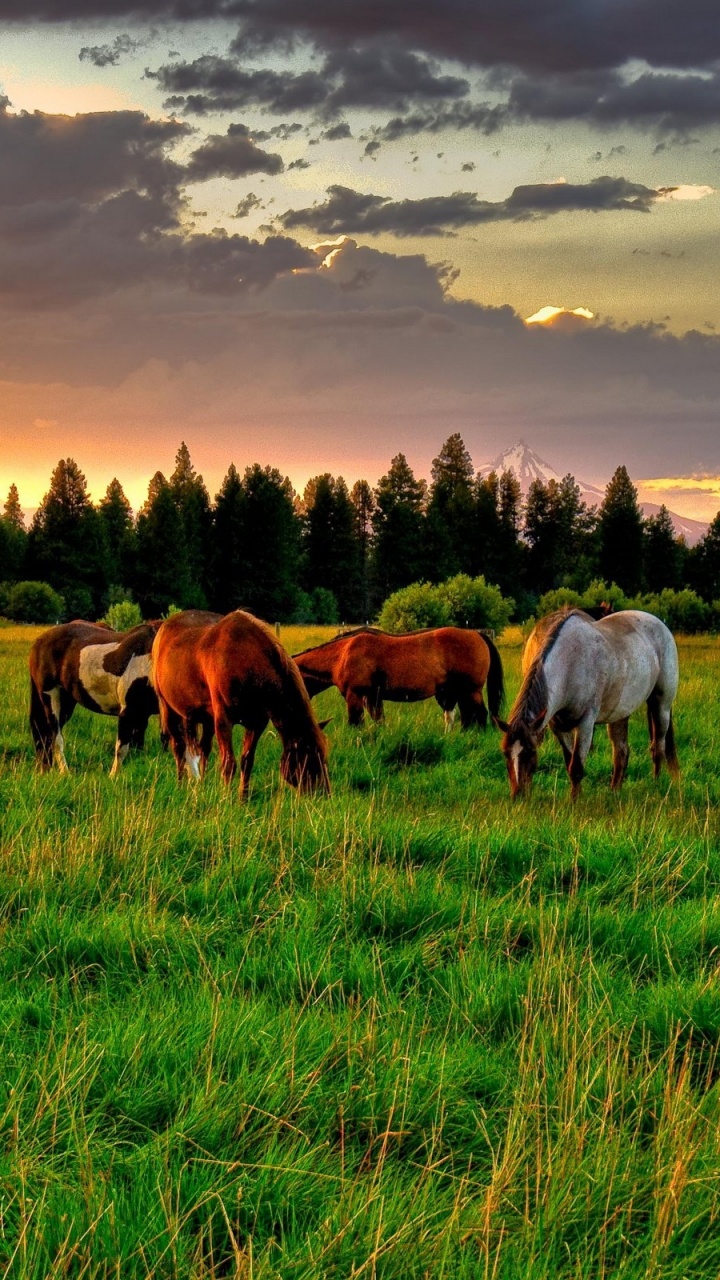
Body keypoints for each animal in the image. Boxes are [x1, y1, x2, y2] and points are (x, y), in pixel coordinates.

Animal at [29, 620, 162, 775]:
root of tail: (39, 642)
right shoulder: (127, 712)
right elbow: (121, 749)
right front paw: (113, 776)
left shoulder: (143, 715)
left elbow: (137, 750)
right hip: (51, 697)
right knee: (55, 737)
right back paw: (65, 773)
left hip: (66, 703)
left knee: (45, 735)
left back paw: (45, 769)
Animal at [151, 609, 330, 796]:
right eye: (310, 756)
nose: (325, 793)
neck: (246, 663)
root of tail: (163, 627)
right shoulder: (223, 721)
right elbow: (228, 763)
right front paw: (226, 798)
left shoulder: (256, 723)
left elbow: (247, 761)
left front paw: (242, 797)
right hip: (168, 708)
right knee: (178, 748)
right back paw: (180, 785)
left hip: (206, 719)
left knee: (203, 749)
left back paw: (202, 784)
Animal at [292, 626, 505, 729]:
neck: (343, 654)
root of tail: (476, 634)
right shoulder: (373, 699)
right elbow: (379, 722)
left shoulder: (355, 696)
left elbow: (356, 724)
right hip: (458, 693)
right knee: (467, 718)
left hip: (471, 691)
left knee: (480, 716)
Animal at [495, 608, 679, 799]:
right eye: (505, 753)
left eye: (530, 751)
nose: (518, 795)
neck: (569, 663)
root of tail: (659, 623)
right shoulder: (557, 725)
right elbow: (570, 761)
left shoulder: (585, 723)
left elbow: (576, 767)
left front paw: (575, 802)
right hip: (620, 713)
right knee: (621, 752)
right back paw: (615, 792)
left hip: (661, 705)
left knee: (657, 747)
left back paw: (655, 784)